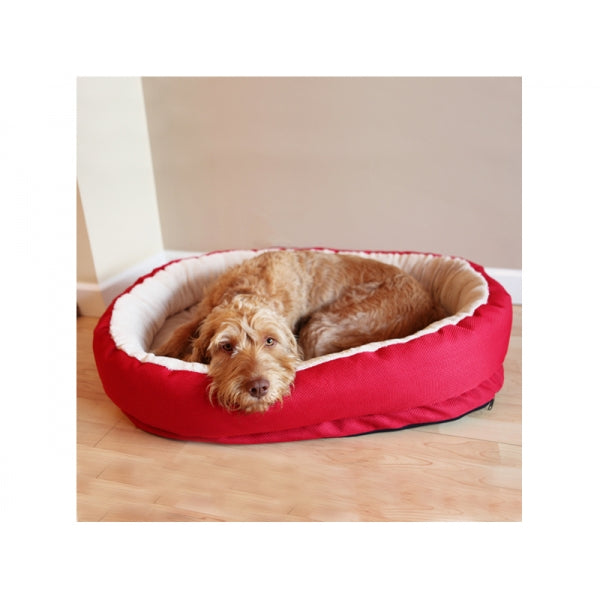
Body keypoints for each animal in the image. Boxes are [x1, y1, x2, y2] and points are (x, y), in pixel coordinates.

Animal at [157, 250, 442, 412]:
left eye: (270, 341)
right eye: (227, 346)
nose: (258, 387)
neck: (246, 292)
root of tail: (429, 305)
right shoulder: (201, 314)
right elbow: (180, 331)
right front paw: (163, 353)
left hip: (320, 327)